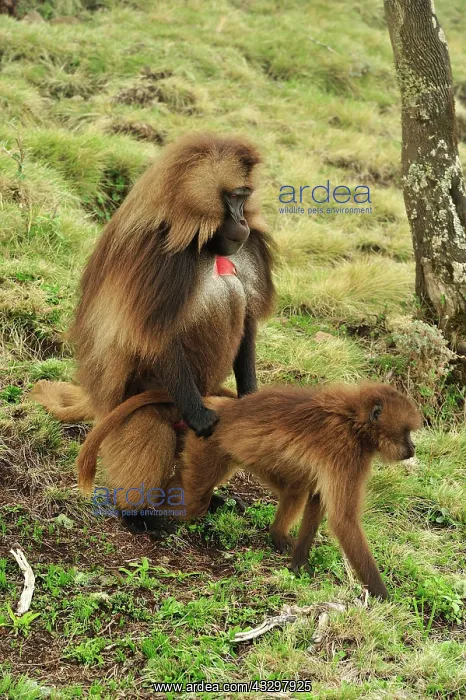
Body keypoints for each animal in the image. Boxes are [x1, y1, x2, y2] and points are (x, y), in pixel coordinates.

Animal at [30, 132, 275, 531]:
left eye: (244, 197)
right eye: (234, 197)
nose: (242, 220)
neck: (202, 243)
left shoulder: (247, 249)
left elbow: (248, 319)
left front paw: (251, 399)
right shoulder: (161, 255)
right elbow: (154, 336)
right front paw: (201, 416)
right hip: (138, 396)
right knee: (150, 424)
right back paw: (142, 514)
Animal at [74, 381, 422, 599]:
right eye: (406, 432)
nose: (412, 449)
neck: (354, 421)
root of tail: (220, 409)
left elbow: (317, 499)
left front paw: (298, 564)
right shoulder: (347, 452)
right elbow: (344, 520)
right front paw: (384, 597)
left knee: (294, 489)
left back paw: (275, 535)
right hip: (208, 445)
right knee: (193, 503)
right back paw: (138, 515)